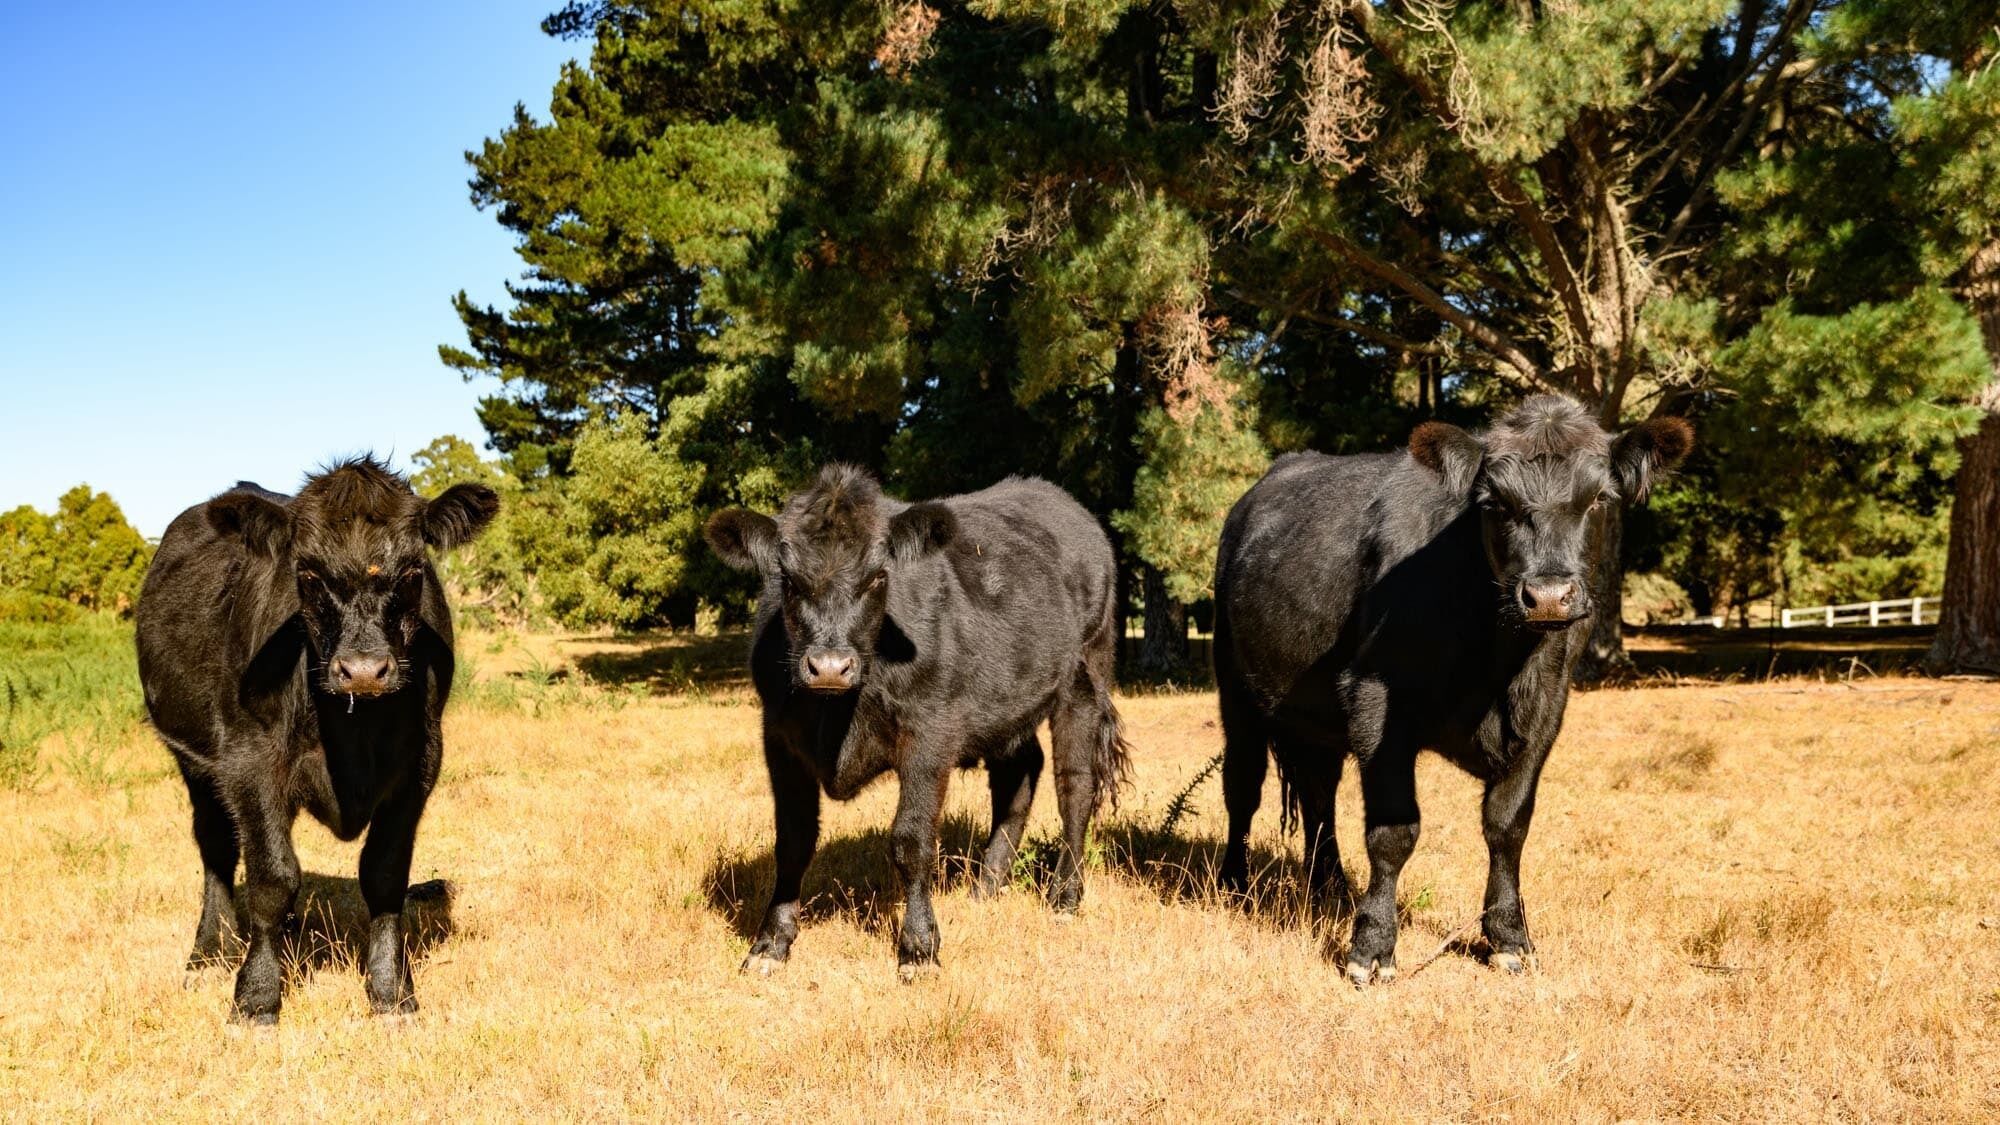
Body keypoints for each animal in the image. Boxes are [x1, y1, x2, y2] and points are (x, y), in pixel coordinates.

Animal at [136, 458, 498, 1024]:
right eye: (307, 573)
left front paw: (391, 991)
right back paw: (210, 952)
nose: (364, 671)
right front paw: (257, 996)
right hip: (193, 762)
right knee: (217, 849)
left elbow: (385, 873)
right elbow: (273, 876)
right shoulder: (249, 763)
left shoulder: (418, 767)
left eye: (413, 571)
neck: (353, 734)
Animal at [705, 466, 1131, 980]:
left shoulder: (931, 733)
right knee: (1020, 772)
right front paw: (770, 943)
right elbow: (792, 841)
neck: (838, 714)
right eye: (787, 579)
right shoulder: (780, 740)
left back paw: (1065, 896)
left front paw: (919, 948)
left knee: (1075, 786)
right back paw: (986, 886)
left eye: (878, 577)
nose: (829, 666)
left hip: (1086, 675)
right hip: (1008, 698)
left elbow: (911, 841)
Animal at [1212, 395, 1691, 986]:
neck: (1500, 662)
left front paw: (1510, 938)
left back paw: (1331, 889)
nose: (1548, 595)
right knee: (1243, 788)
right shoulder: (1377, 702)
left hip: (1312, 715)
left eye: (1600, 497)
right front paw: (1372, 948)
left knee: (1319, 794)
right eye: (1494, 502)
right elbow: (1394, 830)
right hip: (1236, 689)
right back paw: (1234, 884)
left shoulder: (1547, 710)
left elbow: (1508, 825)